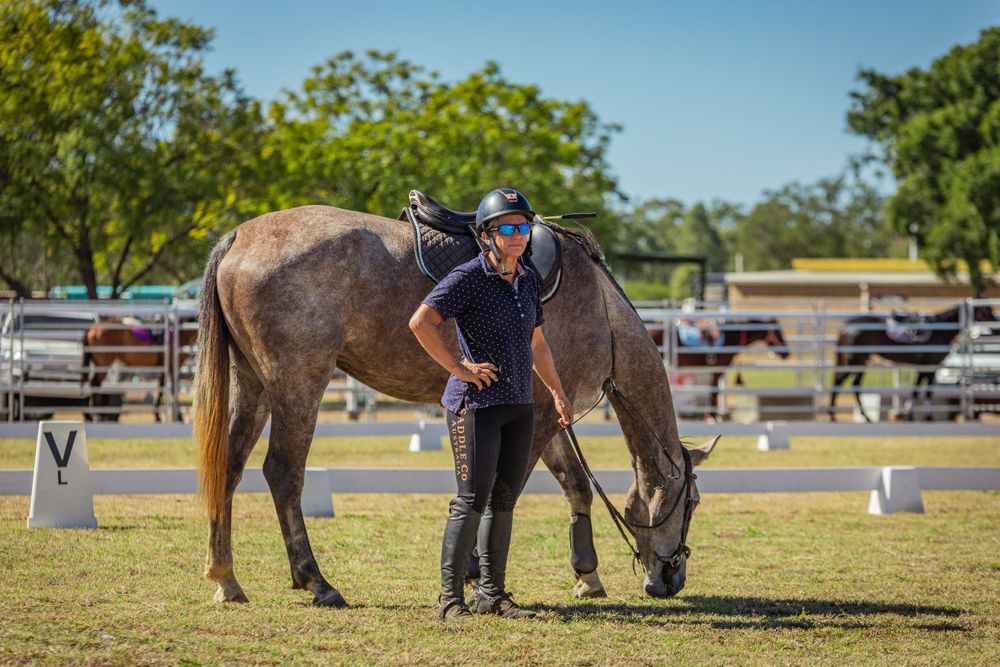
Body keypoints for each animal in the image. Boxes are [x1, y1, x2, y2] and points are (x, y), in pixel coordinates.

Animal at [194, 204, 719, 608]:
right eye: (692, 502)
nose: (671, 579)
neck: (600, 308)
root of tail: (241, 237)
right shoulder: (540, 420)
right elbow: (507, 492)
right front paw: (475, 572)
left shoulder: (545, 413)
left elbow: (575, 486)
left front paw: (586, 575)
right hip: (298, 384)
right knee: (283, 472)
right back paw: (316, 582)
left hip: (254, 383)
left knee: (229, 467)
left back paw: (226, 578)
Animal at [648, 318, 790, 419]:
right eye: (778, 332)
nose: (787, 353)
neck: (732, 334)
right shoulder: (718, 369)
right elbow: (714, 391)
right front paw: (713, 416)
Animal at [829, 304, 996, 422]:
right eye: (985, 310)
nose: (996, 324)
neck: (941, 330)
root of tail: (845, 326)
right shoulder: (930, 367)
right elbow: (925, 391)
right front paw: (925, 417)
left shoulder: (923, 367)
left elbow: (917, 390)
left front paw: (910, 415)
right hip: (855, 360)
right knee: (841, 382)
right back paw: (835, 416)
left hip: (861, 361)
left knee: (853, 385)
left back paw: (864, 416)